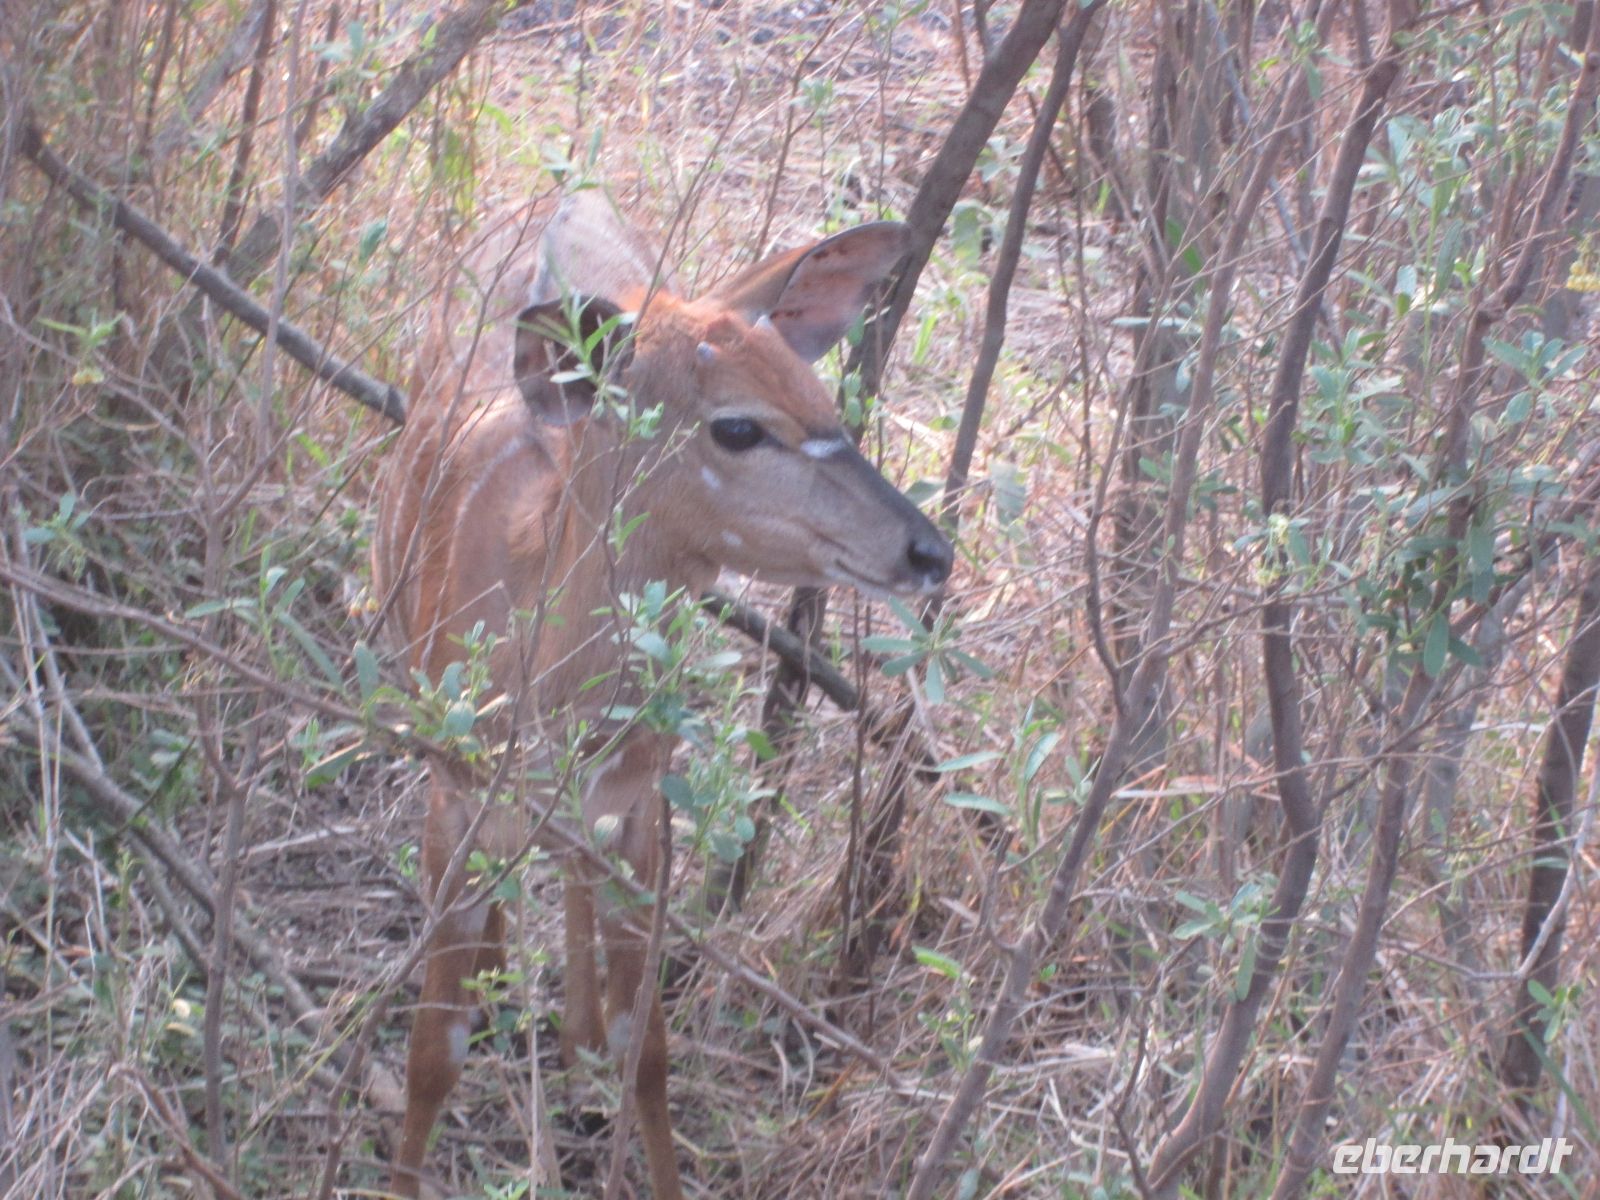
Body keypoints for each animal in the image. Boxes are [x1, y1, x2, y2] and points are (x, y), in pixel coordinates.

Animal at [372, 190, 952, 1198]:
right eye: (738, 426)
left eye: (823, 398)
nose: (930, 550)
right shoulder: (455, 795)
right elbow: (431, 1053)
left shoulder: (642, 805)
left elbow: (648, 1048)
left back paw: (571, 1044)